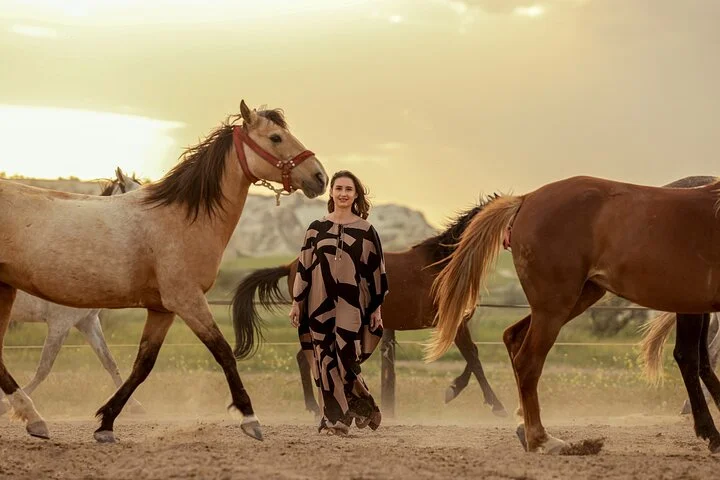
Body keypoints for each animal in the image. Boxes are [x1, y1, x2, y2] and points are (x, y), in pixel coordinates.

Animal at [0, 168, 144, 417]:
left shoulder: (88, 322)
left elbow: (109, 362)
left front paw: (135, 406)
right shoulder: (60, 324)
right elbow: (43, 369)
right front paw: (12, 407)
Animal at [230, 203, 507, 417]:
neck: (443, 266)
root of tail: (290, 265)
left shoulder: (458, 323)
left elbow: (473, 357)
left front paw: (453, 390)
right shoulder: (455, 323)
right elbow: (474, 358)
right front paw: (497, 406)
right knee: (307, 358)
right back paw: (317, 407)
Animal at [426, 174, 720, 454]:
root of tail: (526, 199)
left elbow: (702, 361)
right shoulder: (690, 304)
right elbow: (691, 358)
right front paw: (710, 434)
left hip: (577, 297)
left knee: (514, 337)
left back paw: (525, 429)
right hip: (555, 306)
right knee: (528, 362)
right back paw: (542, 439)